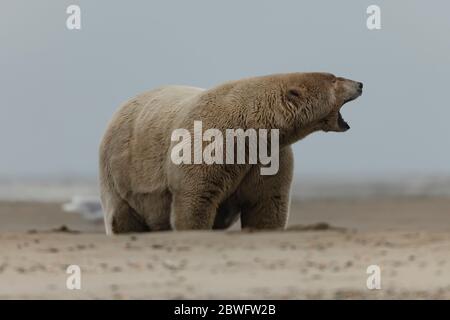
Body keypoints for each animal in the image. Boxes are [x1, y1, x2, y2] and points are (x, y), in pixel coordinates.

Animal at [98, 72, 362, 234]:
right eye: (334, 79)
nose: (360, 84)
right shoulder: (210, 146)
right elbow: (195, 200)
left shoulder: (268, 158)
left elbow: (266, 204)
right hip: (121, 176)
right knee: (122, 216)